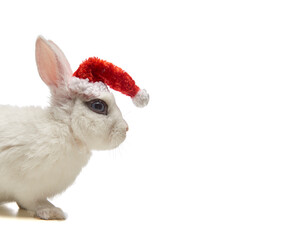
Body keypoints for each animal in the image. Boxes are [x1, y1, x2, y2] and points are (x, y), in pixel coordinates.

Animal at [0, 36, 148, 219]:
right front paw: (53, 212)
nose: (126, 128)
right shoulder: (27, 188)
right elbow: (31, 201)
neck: (66, 128)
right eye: (98, 106)